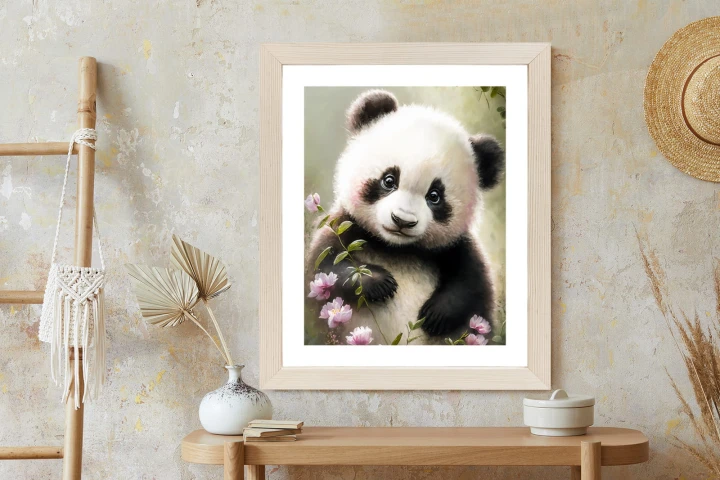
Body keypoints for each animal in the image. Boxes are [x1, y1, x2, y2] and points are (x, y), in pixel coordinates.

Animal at [305, 89, 504, 345]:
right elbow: (325, 268)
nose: (402, 220)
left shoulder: (455, 247)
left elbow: (471, 285)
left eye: (435, 196)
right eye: (389, 180)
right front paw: (379, 282)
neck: (397, 249)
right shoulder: (345, 227)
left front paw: (436, 313)